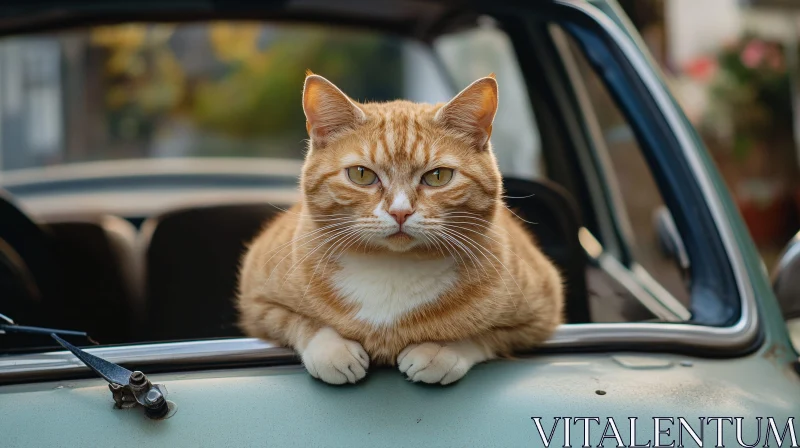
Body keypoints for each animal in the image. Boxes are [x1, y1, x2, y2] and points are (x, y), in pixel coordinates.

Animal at [236, 72, 564, 384]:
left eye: (438, 176)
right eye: (361, 174)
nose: (400, 211)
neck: (392, 267)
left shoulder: (540, 315)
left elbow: (482, 335)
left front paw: (440, 350)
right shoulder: (257, 302)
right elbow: (300, 322)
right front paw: (332, 350)